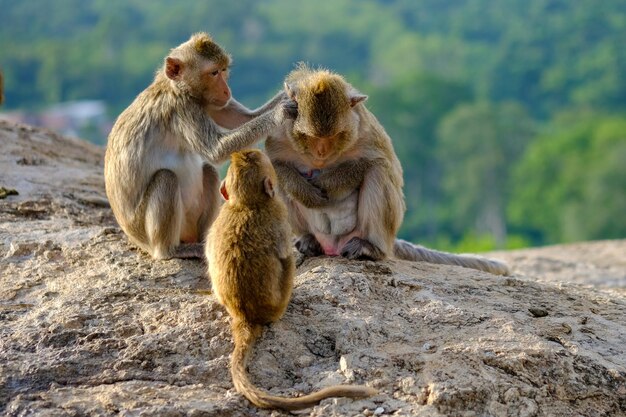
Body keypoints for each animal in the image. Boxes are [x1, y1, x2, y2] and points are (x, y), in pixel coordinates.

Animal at [105, 33, 292, 260]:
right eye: (213, 72)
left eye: (223, 69)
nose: (226, 90)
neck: (176, 87)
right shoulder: (183, 109)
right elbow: (217, 150)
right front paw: (280, 113)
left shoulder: (206, 102)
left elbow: (242, 118)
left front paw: (289, 92)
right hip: (146, 233)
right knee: (166, 178)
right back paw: (172, 251)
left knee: (208, 172)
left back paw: (205, 239)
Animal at [205, 150, 376, 410]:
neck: (245, 204)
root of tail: (244, 315)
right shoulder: (279, 217)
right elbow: (286, 257)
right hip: (278, 306)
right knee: (287, 268)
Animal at [264, 63, 508, 274]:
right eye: (310, 136)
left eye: (335, 135)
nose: (321, 152)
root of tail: (333, 247)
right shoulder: (279, 131)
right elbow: (275, 163)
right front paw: (306, 192)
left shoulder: (366, 133)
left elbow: (378, 163)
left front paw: (326, 183)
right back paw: (308, 239)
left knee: (378, 173)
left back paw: (370, 248)